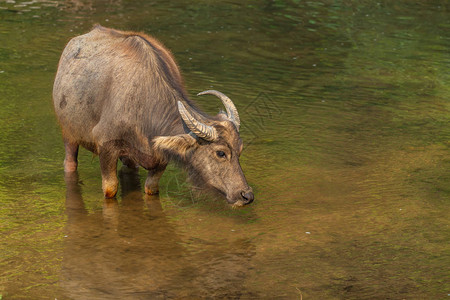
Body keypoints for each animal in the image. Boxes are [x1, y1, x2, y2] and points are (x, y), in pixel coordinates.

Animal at [52, 25, 253, 206]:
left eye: (240, 150)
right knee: (70, 162)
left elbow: (151, 188)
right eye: (221, 153)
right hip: (68, 133)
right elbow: (110, 189)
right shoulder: (106, 147)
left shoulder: (160, 158)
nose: (247, 195)